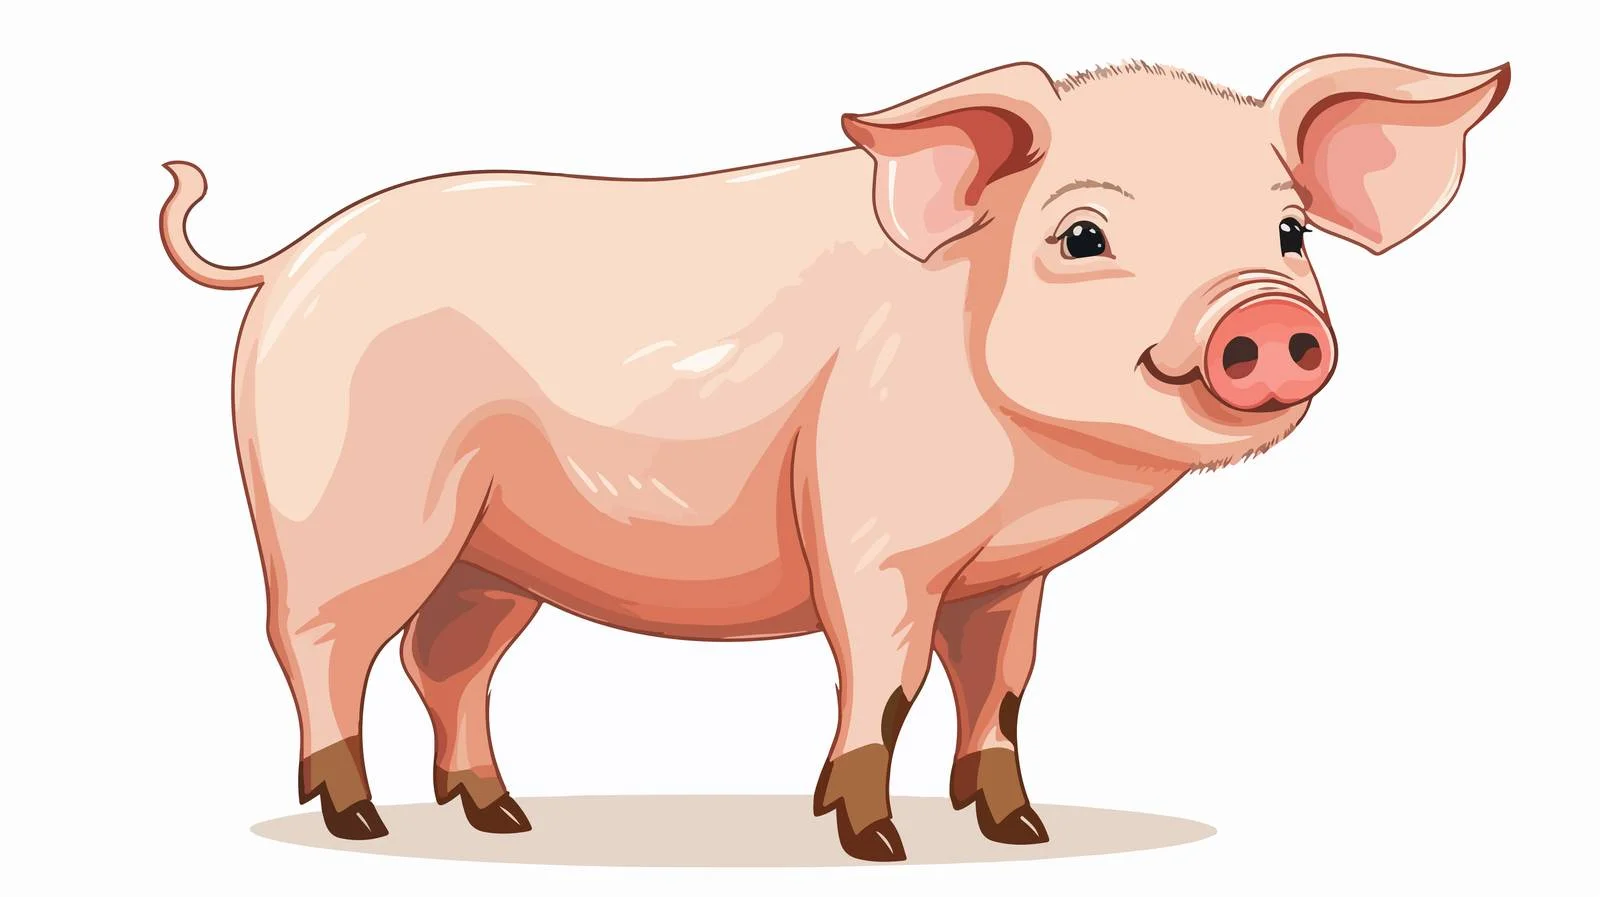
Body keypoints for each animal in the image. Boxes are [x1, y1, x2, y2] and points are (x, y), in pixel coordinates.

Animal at [160, 54, 1508, 861]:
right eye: (1081, 235)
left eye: (1288, 232)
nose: (1263, 321)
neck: (1036, 473)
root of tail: (287, 258)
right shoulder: (871, 534)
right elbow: (887, 676)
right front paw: (873, 844)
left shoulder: (1012, 575)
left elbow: (1001, 687)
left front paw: (1021, 834)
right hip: (343, 515)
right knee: (317, 644)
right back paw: (357, 823)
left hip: (496, 555)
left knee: (446, 664)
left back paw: (499, 817)